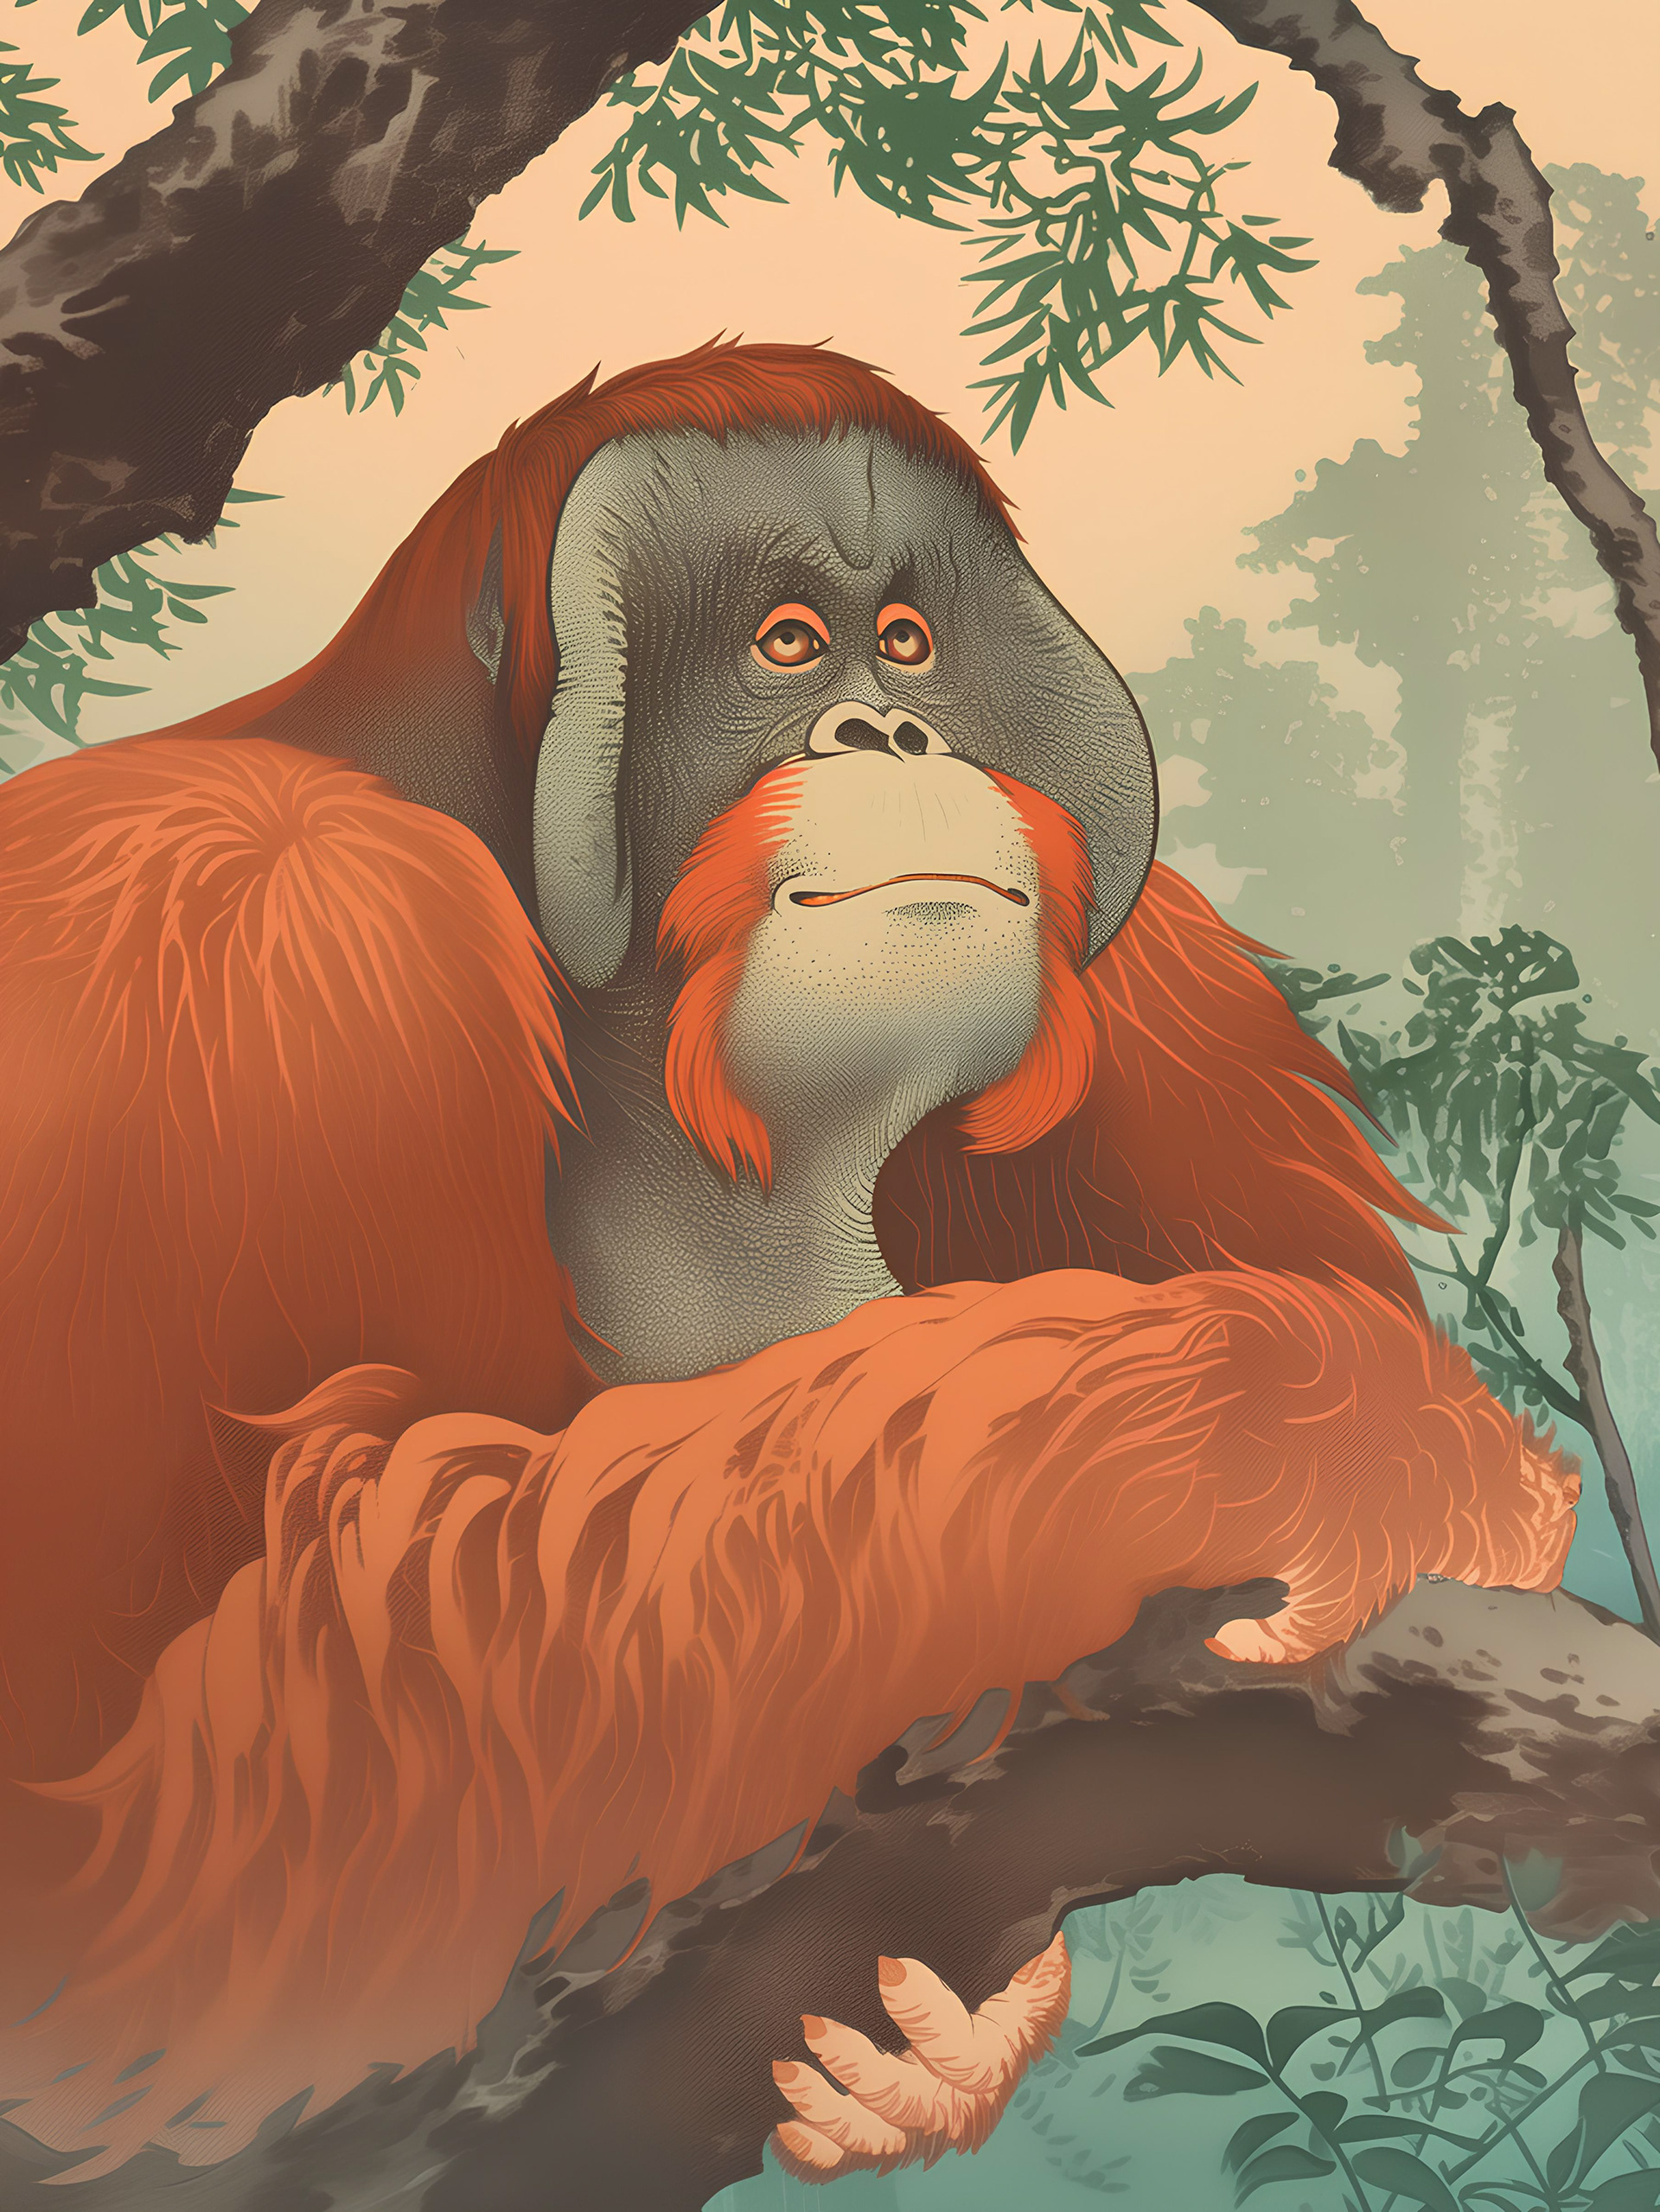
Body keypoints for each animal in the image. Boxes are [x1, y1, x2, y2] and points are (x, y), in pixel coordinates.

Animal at [0, 341, 1578, 2183]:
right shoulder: (271, 945)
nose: (892, 728)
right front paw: (1327, 1433)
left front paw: (923, 2051)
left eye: (904, 639)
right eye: (784, 645)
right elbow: (252, 1803)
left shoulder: (1152, 992)